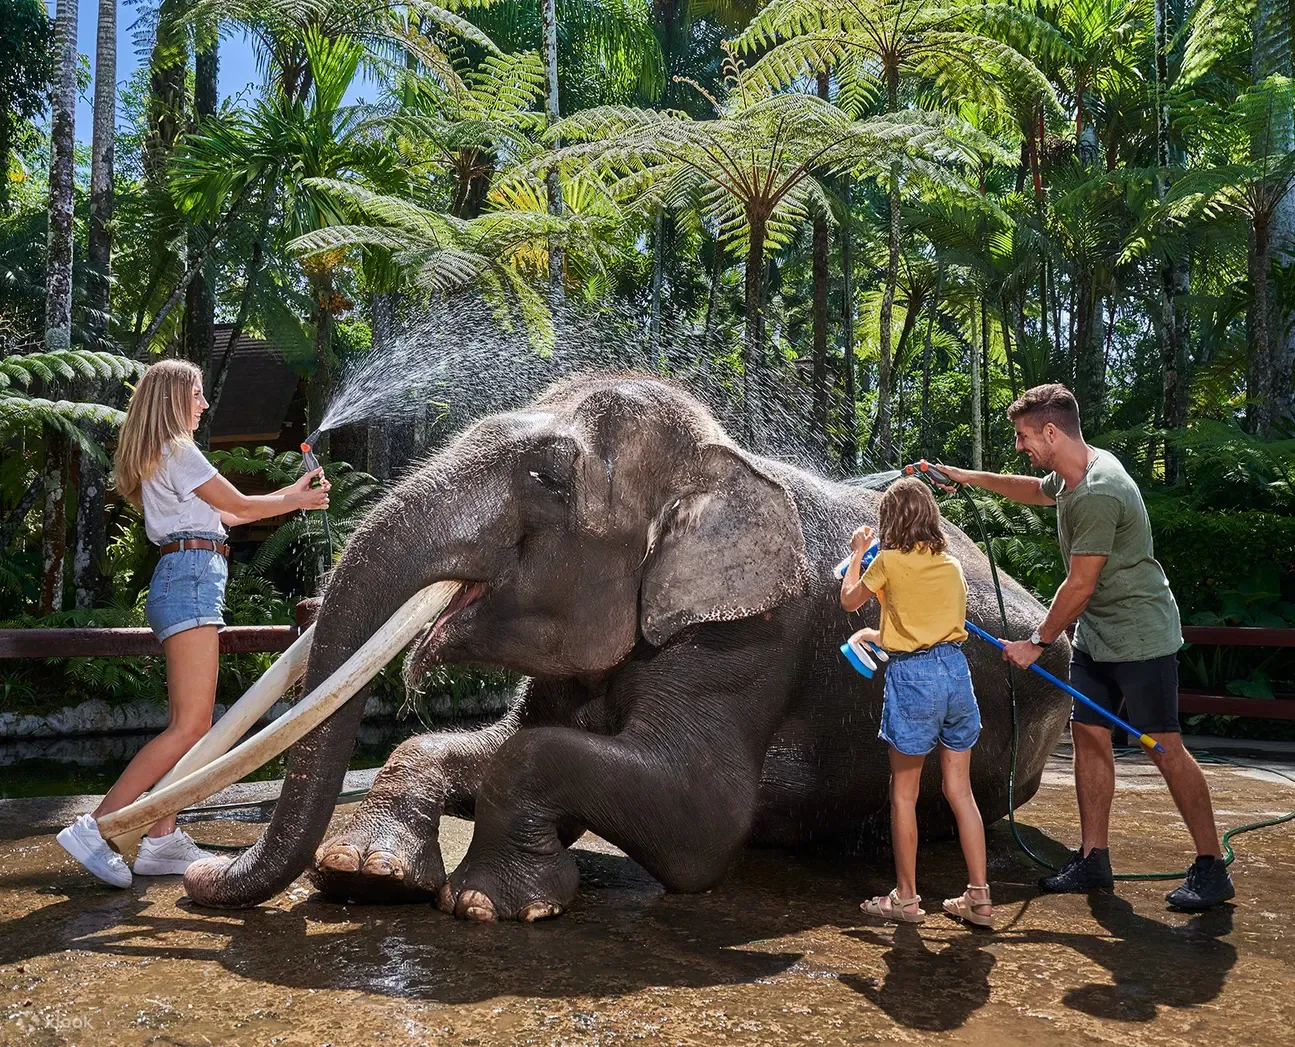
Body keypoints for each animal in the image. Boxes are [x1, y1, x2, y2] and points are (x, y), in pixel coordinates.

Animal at [183, 373, 1071, 919]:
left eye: (546, 477)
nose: (195, 872)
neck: (719, 456)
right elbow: (488, 740)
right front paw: (363, 873)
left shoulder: (751, 636)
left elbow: (700, 816)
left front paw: (484, 903)